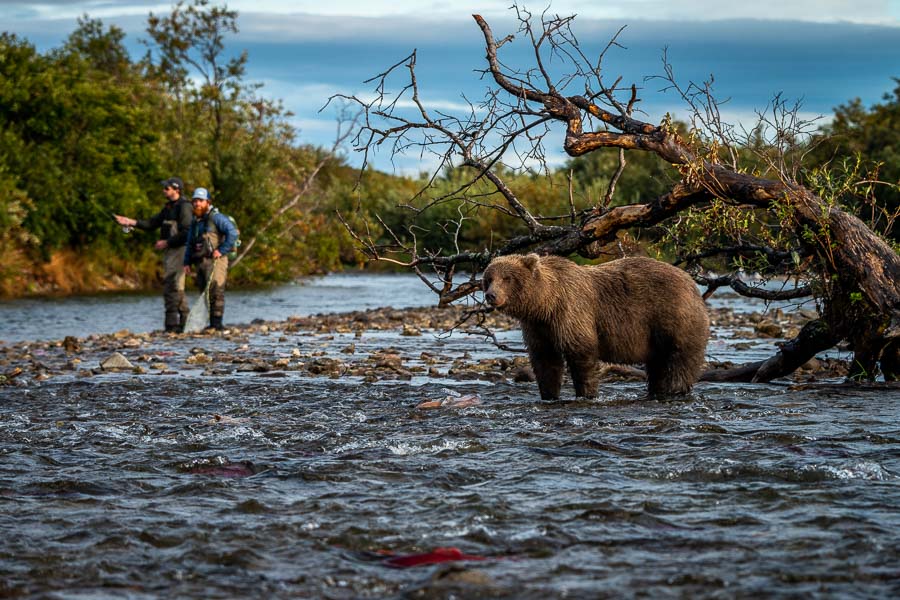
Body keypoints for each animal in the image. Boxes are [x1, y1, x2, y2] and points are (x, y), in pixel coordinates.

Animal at [482, 253, 708, 398]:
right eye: (489, 278)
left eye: (507, 278)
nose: (491, 295)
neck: (545, 304)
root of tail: (692, 284)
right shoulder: (538, 327)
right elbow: (545, 360)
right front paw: (549, 394)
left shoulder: (572, 312)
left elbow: (582, 354)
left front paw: (587, 393)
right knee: (658, 364)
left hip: (673, 317)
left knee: (680, 359)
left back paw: (675, 390)